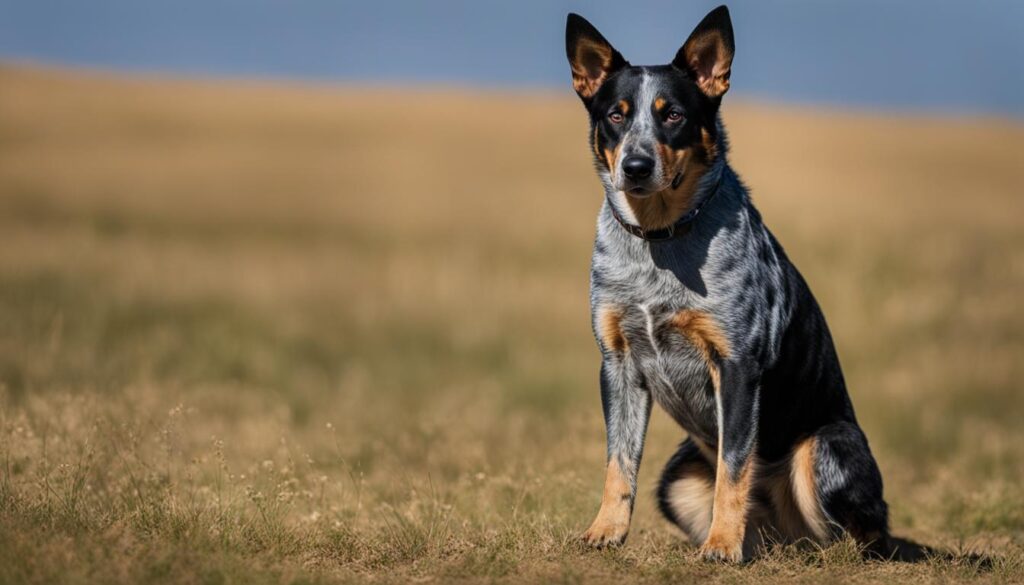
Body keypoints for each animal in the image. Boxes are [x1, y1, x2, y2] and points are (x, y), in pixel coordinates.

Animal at [569, 4, 888, 561]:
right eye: (616, 115)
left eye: (673, 114)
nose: (636, 166)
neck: (659, 243)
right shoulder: (618, 363)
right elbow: (618, 463)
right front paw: (604, 531)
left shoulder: (737, 365)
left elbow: (734, 468)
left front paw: (721, 545)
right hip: (675, 479)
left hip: (823, 447)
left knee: (859, 537)